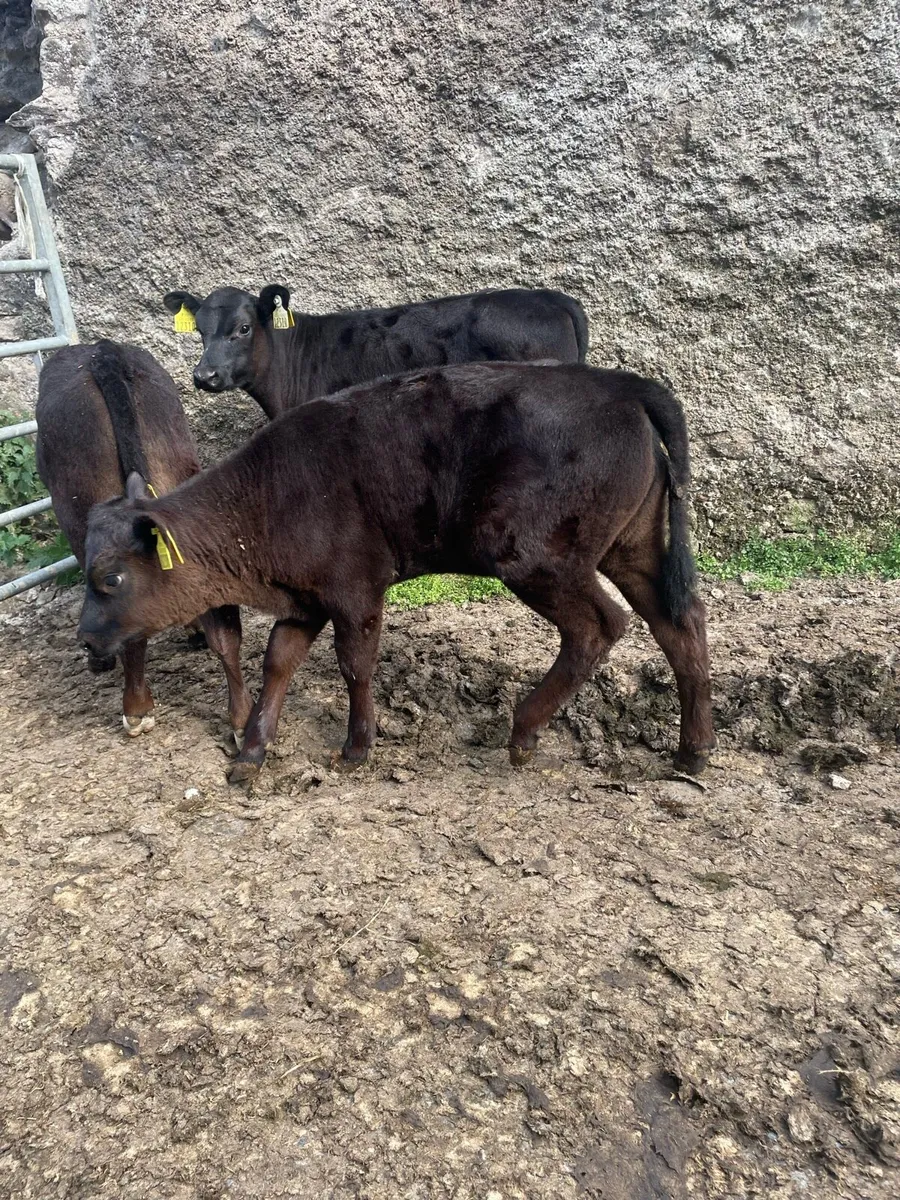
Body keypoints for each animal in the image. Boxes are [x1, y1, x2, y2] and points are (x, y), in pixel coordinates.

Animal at [76, 360, 714, 783]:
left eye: (110, 579)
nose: (84, 638)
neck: (267, 496)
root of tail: (624, 385)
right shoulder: (304, 600)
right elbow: (277, 663)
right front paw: (250, 754)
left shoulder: (353, 591)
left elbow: (355, 664)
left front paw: (356, 748)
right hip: (632, 549)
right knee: (679, 623)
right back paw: (692, 751)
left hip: (538, 560)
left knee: (600, 625)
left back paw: (524, 734)